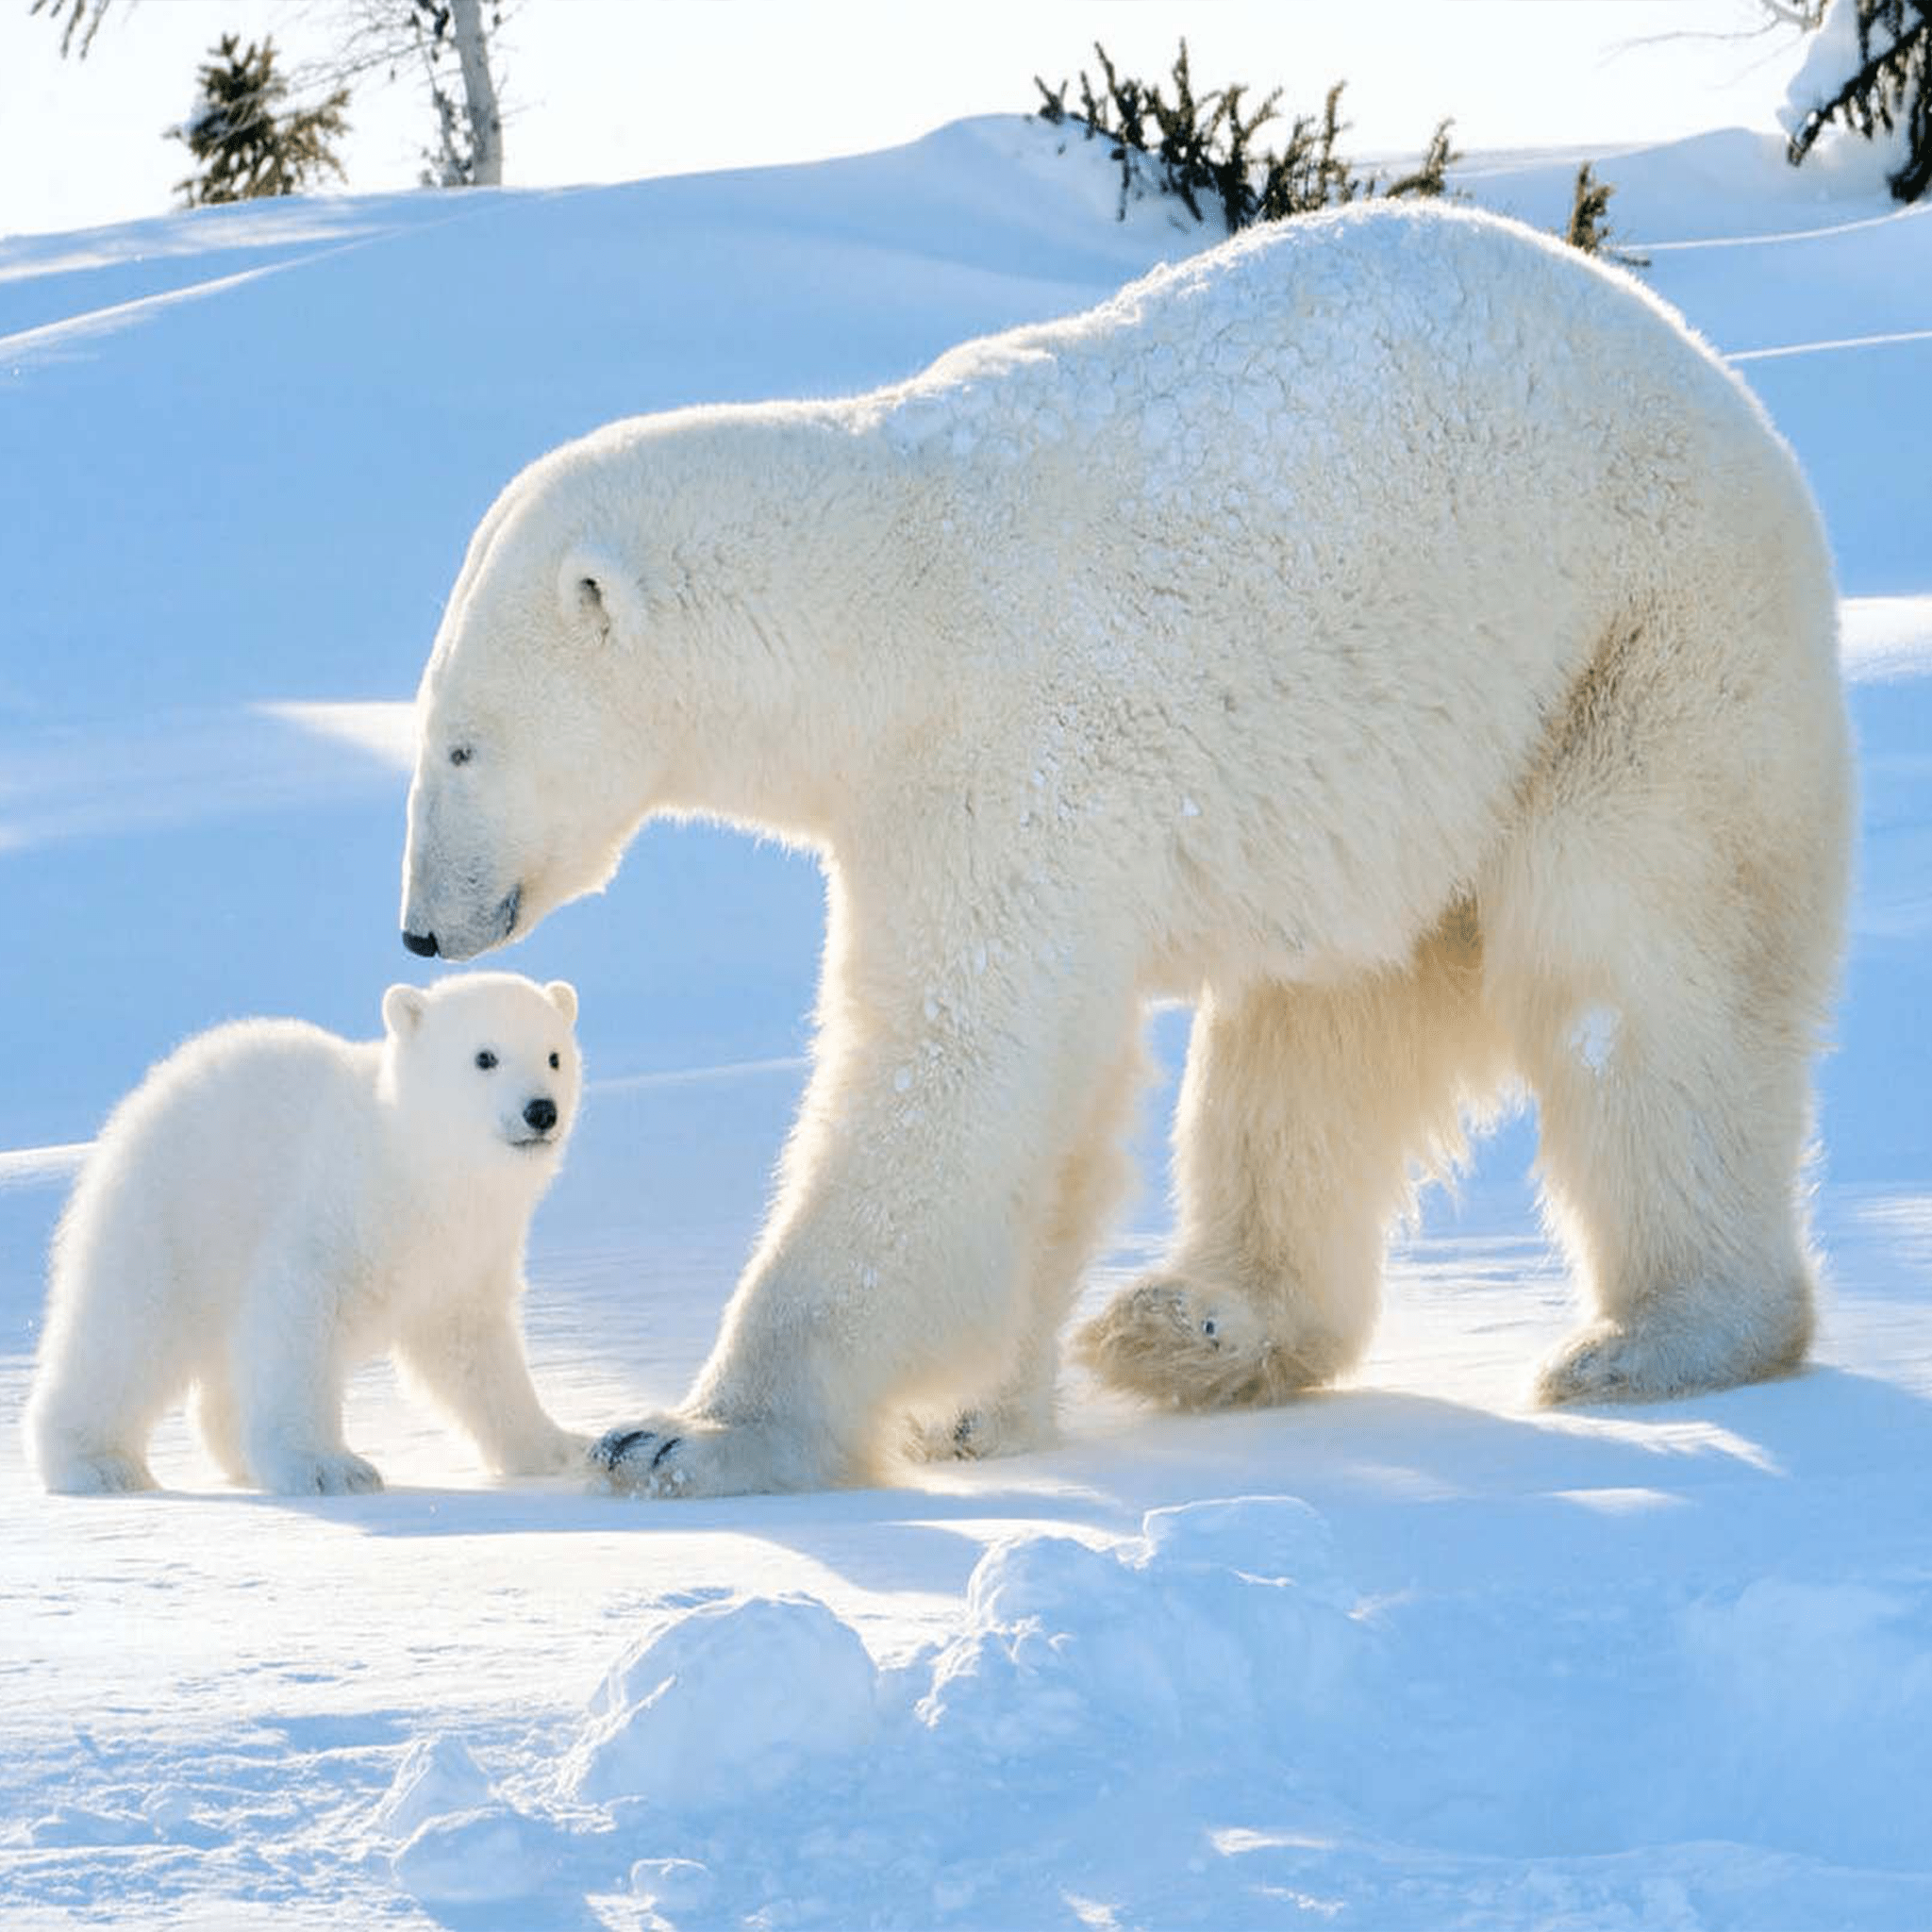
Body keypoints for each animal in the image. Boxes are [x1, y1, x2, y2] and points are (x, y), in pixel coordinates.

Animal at [24, 973, 585, 1496]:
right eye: (484, 1057)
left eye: (554, 1056)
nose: (541, 1110)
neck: (414, 1163)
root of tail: (152, 1086)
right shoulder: (337, 1210)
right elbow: (297, 1320)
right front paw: (328, 1468)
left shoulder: (466, 1257)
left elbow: (475, 1351)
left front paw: (560, 1447)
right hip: (172, 1217)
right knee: (127, 1333)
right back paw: (98, 1464)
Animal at [396, 199, 1853, 1499]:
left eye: (459, 744)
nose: (421, 927)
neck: (890, 599)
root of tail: (1723, 387)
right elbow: (1057, 1101)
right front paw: (975, 1416)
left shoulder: (1008, 750)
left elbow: (951, 1068)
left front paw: (687, 1437)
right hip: (1407, 783)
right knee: (1317, 1035)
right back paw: (1193, 1326)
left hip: (1640, 646)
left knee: (1635, 969)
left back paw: (1657, 1340)